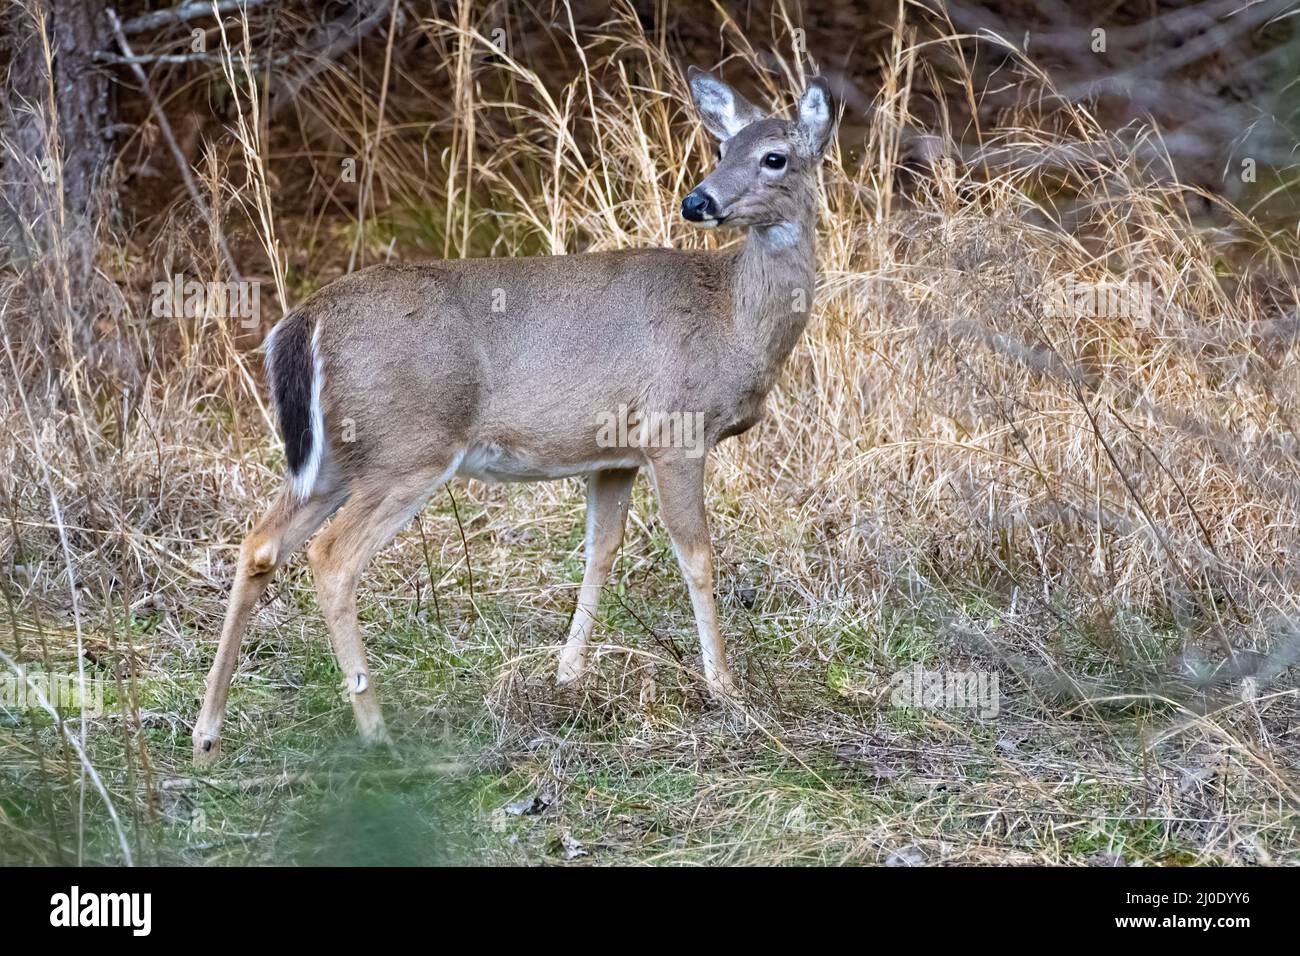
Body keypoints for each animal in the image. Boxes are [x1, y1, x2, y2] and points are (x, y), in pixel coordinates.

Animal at [197, 67, 837, 764]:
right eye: (723, 150)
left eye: (772, 157)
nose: (698, 201)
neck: (732, 318)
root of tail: (305, 320)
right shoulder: (676, 431)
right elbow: (697, 556)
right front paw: (726, 691)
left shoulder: (613, 454)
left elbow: (600, 551)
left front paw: (567, 676)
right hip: (408, 448)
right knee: (331, 559)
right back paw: (376, 731)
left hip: (337, 457)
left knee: (260, 545)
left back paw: (207, 730)